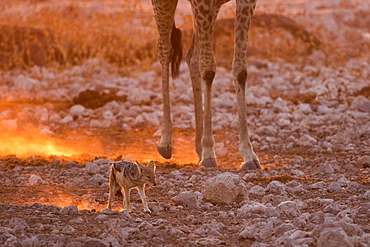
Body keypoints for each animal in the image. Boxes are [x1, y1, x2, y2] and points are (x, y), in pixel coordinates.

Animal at [150, 0, 260, 170]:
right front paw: (209, 152)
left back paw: (198, 147)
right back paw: (166, 141)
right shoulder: (201, 3)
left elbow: (241, 71)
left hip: (213, 7)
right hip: (165, 3)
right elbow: (208, 69)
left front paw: (249, 155)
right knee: (164, 49)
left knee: (192, 57)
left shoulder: (247, 2)